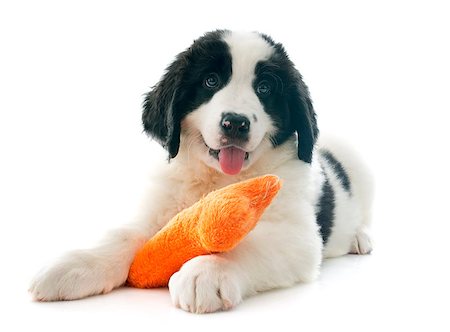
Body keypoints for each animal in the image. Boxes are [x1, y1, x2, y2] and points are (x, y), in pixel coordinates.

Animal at [29, 30, 374, 314]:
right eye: (211, 81)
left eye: (264, 88)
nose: (235, 123)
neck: (218, 180)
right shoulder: (158, 209)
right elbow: (123, 234)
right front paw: (77, 264)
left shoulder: (296, 234)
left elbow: (243, 241)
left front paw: (207, 272)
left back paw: (359, 238)